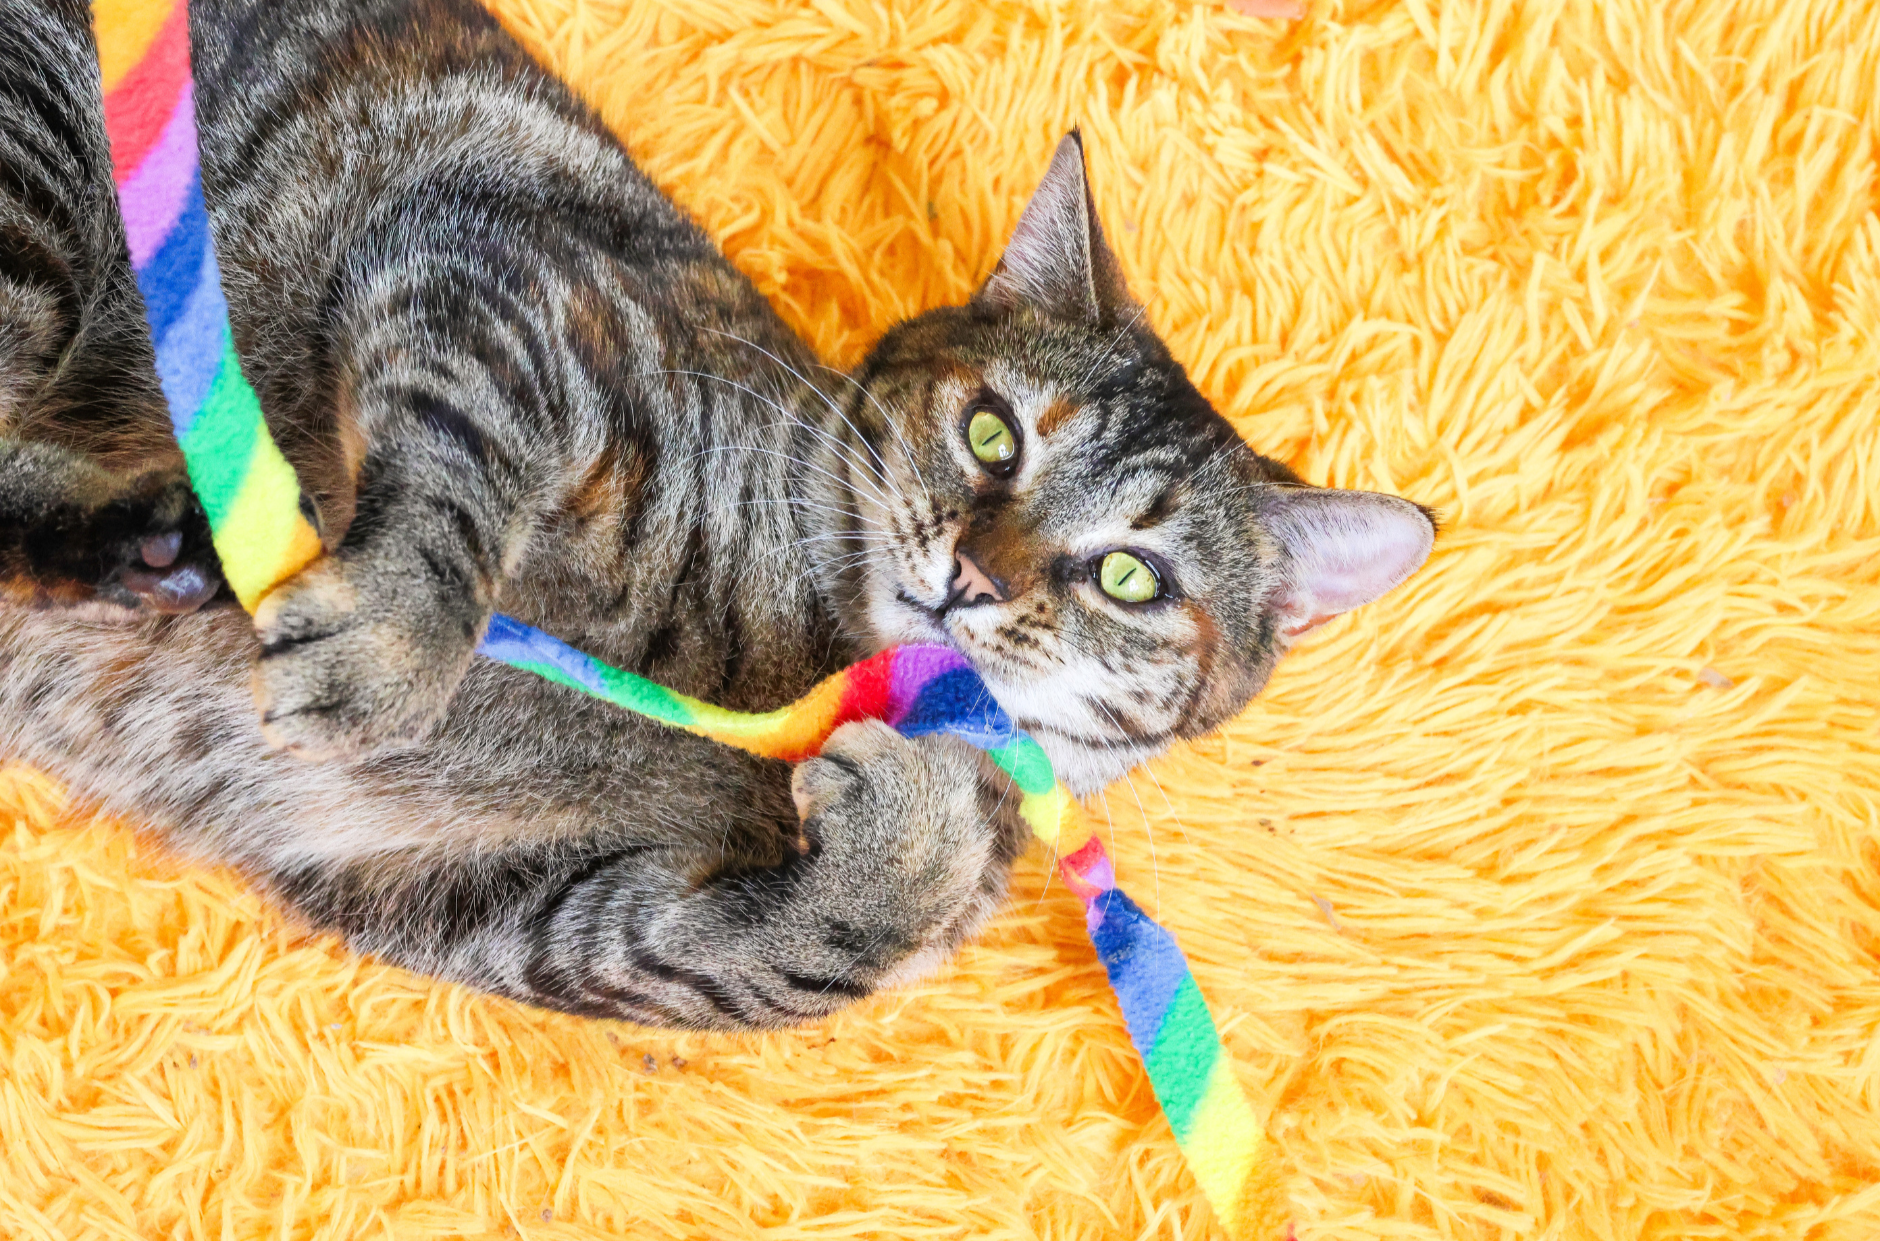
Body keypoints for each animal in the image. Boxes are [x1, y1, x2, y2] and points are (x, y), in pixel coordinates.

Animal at [0, 0, 1428, 1030]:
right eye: (991, 432)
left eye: (1132, 577)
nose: (972, 573)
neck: (810, 659)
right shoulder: (515, 299)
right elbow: (453, 486)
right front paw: (393, 647)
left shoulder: (513, 903)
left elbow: (784, 961)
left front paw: (908, 850)